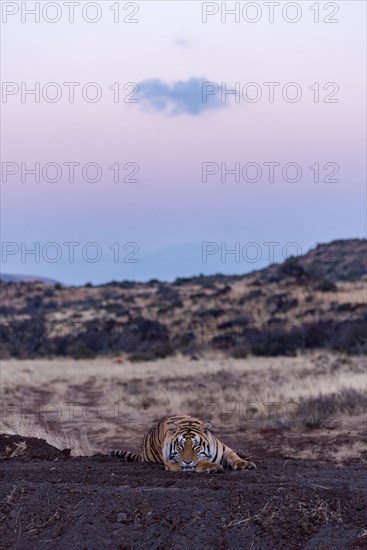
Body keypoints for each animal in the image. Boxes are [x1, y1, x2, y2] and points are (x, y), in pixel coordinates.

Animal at [110, 418, 258, 474]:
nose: (187, 461)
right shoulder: (172, 463)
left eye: (196, 446)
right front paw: (212, 467)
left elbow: (233, 455)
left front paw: (243, 463)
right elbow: (198, 463)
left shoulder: (224, 449)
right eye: (180, 446)